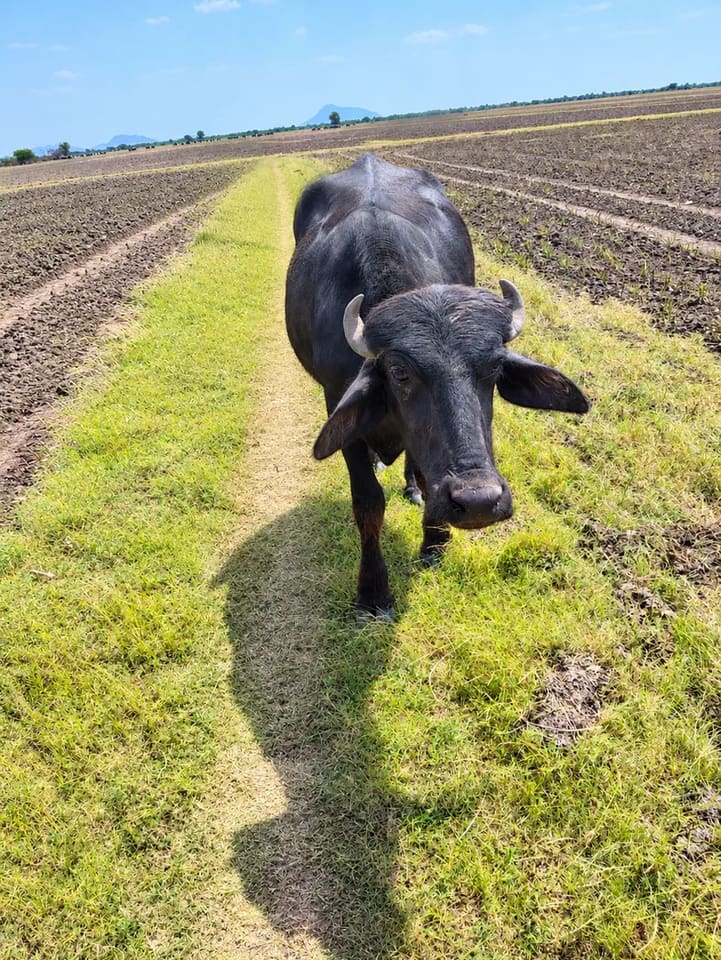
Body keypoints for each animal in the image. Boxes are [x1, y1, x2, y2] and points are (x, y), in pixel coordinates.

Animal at [285, 154, 589, 621]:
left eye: (494, 367)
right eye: (400, 372)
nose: (478, 500)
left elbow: (428, 478)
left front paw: (434, 541)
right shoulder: (336, 400)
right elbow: (367, 502)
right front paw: (373, 592)